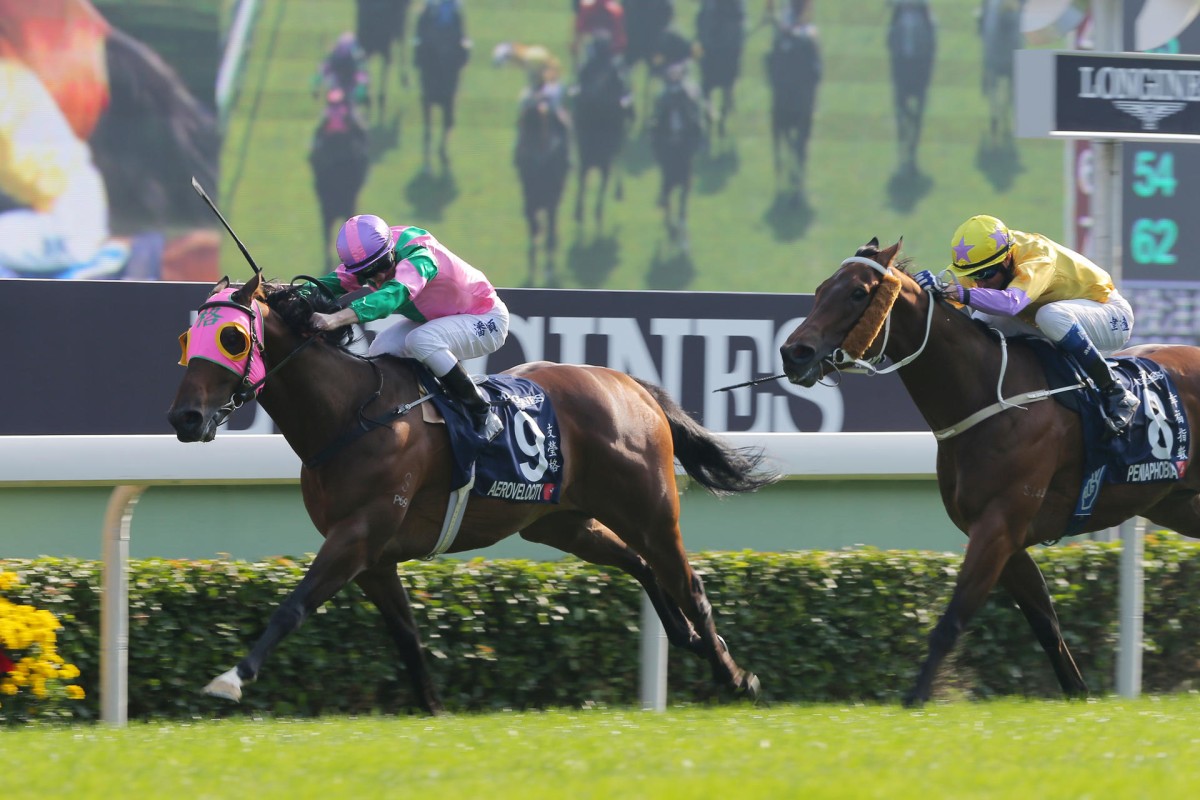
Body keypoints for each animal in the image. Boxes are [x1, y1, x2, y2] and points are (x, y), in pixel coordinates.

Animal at [166, 275, 777, 714]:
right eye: (187, 339)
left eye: (232, 338)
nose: (184, 418)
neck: (349, 414)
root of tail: (632, 385)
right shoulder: (374, 558)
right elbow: (407, 636)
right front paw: (433, 710)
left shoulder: (358, 535)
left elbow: (292, 607)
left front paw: (231, 678)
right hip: (561, 521)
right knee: (640, 564)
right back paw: (690, 641)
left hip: (648, 509)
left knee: (687, 581)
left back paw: (734, 675)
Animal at [777, 239, 1200, 705]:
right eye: (820, 289)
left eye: (857, 293)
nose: (793, 353)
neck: (988, 397)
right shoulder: (1003, 538)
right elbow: (1046, 624)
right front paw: (1078, 694)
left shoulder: (998, 528)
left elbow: (951, 622)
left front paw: (913, 700)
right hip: (1177, 504)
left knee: (1055, 315)